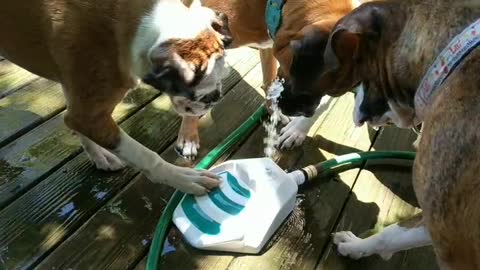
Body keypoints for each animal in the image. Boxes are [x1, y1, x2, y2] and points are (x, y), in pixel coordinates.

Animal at [0, 0, 234, 195]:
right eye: (205, 96)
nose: (217, 96)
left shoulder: (83, 105)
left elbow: (78, 124)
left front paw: (98, 155)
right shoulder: (91, 115)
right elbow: (145, 156)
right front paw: (182, 178)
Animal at [278, 0, 480, 268]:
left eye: (359, 78)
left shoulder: (451, 240)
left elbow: (392, 232)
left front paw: (354, 246)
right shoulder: (444, 226)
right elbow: (393, 235)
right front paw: (358, 247)